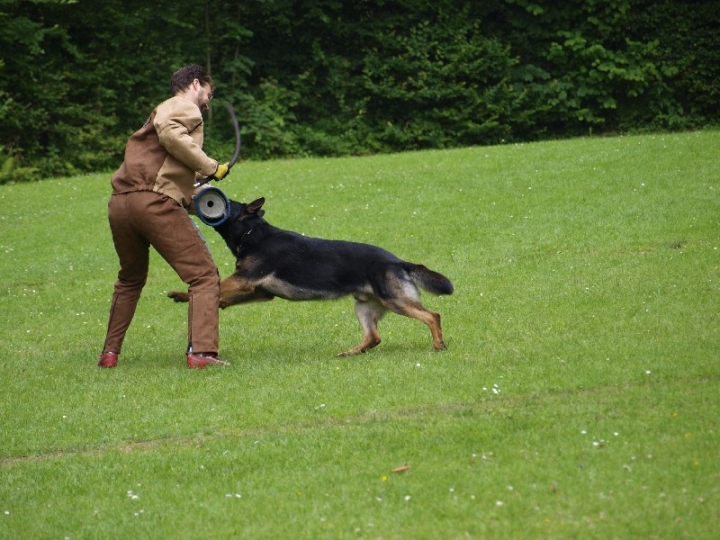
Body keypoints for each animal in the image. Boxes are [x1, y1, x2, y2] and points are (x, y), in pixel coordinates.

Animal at [167, 196, 456, 356]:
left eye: (223, 203)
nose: (192, 201)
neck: (253, 233)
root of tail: (398, 262)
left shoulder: (246, 278)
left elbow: (218, 283)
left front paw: (185, 294)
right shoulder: (260, 291)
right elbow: (221, 292)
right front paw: (206, 301)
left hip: (394, 300)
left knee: (432, 315)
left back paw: (438, 345)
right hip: (364, 308)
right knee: (374, 337)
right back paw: (350, 353)